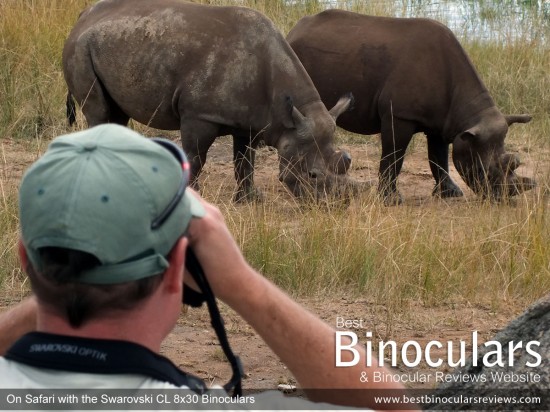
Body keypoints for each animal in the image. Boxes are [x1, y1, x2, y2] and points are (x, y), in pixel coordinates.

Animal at [61, 0, 354, 203]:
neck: (286, 113)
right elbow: (196, 157)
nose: (331, 204)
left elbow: (245, 161)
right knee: (98, 111)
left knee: (117, 116)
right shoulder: (199, 115)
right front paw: (193, 197)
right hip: (80, 48)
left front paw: (249, 200)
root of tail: (82, 17)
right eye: (312, 175)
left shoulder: (250, 120)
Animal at [286, 9, 536, 203]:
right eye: (485, 171)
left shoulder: (444, 120)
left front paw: (450, 193)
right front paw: (391, 199)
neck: (468, 116)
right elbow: (394, 155)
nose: (501, 198)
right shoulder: (399, 114)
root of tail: (294, 30)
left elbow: (439, 157)